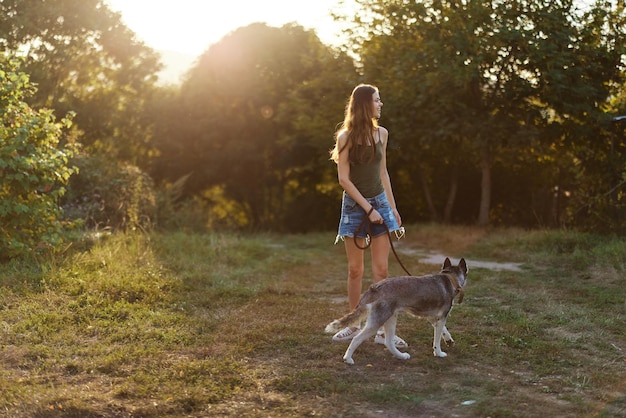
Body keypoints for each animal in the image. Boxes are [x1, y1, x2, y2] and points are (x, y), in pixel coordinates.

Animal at [324, 256, 466, 364]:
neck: (450, 279)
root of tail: (375, 287)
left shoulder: (434, 318)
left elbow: (443, 330)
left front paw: (449, 340)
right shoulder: (441, 317)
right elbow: (437, 339)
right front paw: (439, 353)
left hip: (391, 319)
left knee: (388, 342)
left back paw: (401, 356)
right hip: (377, 322)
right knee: (357, 339)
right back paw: (348, 359)